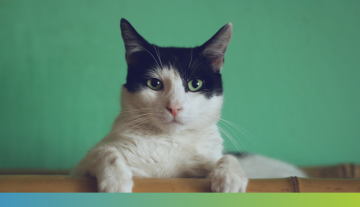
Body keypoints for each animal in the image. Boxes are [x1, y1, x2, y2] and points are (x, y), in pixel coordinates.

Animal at [71, 18, 306, 192]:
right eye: (154, 83)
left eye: (195, 84)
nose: (174, 106)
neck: (169, 143)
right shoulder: (79, 169)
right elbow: (105, 152)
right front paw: (116, 181)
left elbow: (225, 157)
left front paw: (230, 178)